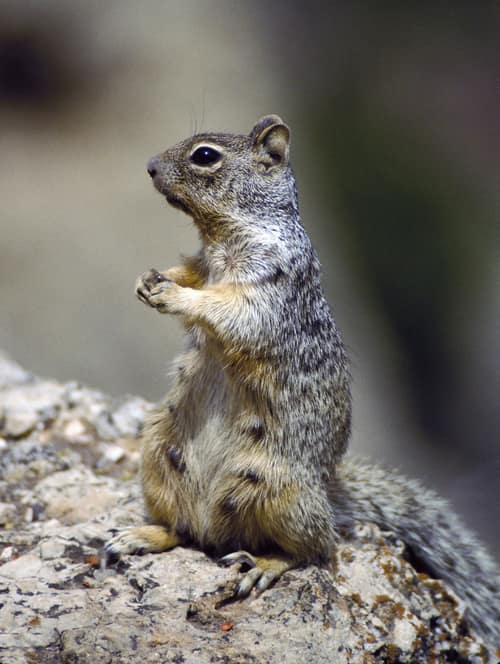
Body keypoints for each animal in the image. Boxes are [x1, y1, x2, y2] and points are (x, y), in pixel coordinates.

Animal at [104, 114, 499, 644]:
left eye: (205, 155)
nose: (149, 165)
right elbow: (187, 270)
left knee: (316, 549)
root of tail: (328, 493)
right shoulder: (203, 261)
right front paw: (149, 279)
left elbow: (224, 309)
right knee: (182, 531)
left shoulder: (268, 287)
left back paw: (262, 566)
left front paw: (172, 296)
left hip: (279, 490)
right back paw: (139, 535)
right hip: (156, 456)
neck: (224, 236)